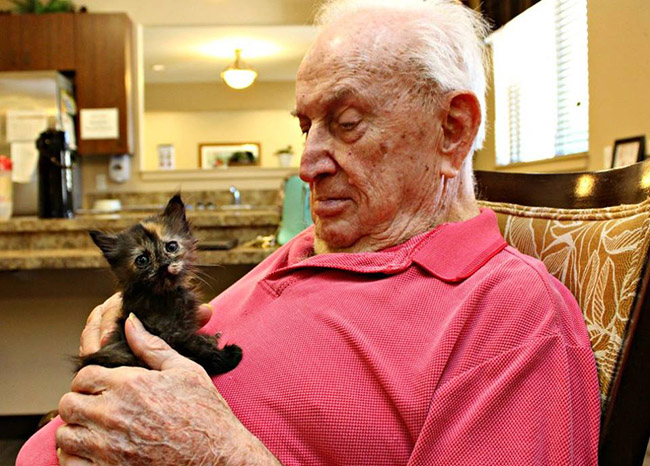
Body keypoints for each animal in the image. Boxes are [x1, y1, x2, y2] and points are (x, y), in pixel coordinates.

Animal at [78, 193, 240, 374]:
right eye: (142, 260)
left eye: (171, 246)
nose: (163, 265)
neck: (163, 296)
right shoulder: (173, 336)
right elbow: (200, 349)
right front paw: (229, 355)